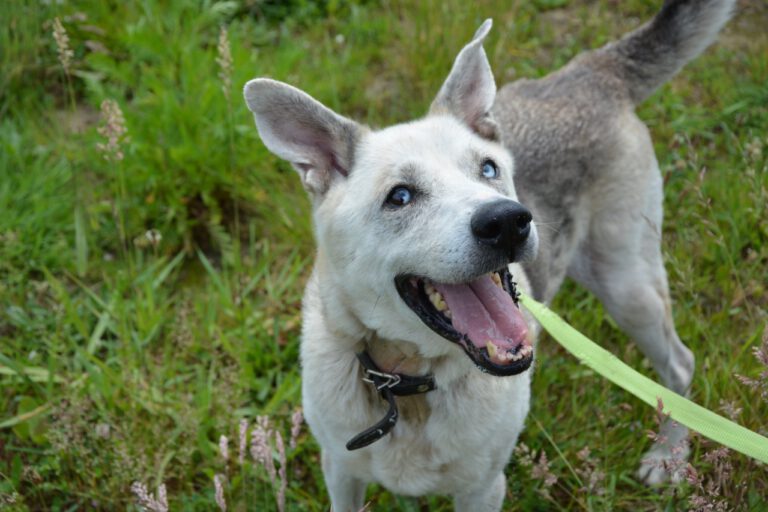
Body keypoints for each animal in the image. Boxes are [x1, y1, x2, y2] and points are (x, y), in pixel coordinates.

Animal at [243, 0, 736, 508]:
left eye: (488, 169)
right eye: (400, 196)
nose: (507, 222)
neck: (409, 382)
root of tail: (592, 68)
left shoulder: (482, 487)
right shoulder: (340, 473)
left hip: (628, 285)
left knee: (679, 366)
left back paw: (667, 454)